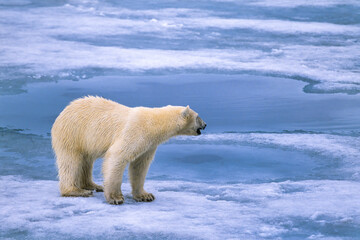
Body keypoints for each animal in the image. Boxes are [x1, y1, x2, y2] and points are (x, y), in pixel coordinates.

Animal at [52, 95, 207, 204]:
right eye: (198, 116)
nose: (205, 124)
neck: (153, 124)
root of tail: (63, 112)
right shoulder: (134, 132)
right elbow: (117, 157)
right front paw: (115, 198)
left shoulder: (149, 144)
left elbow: (140, 165)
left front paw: (145, 195)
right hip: (72, 133)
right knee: (71, 161)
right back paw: (76, 191)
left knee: (86, 161)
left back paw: (93, 185)